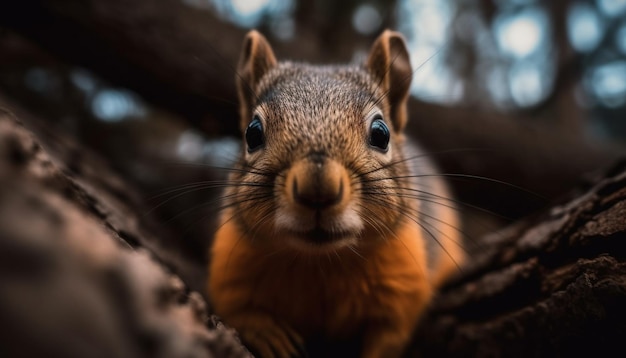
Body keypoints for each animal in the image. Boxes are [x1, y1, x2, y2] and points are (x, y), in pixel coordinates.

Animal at [207, 30, 460, 358]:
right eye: (252, 133)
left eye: (381, 133)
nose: (318, 188)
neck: (322, 265)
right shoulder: (231, 271)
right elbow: (241, 313)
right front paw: (271, 336)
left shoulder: (403, 288)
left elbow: (388, 339)